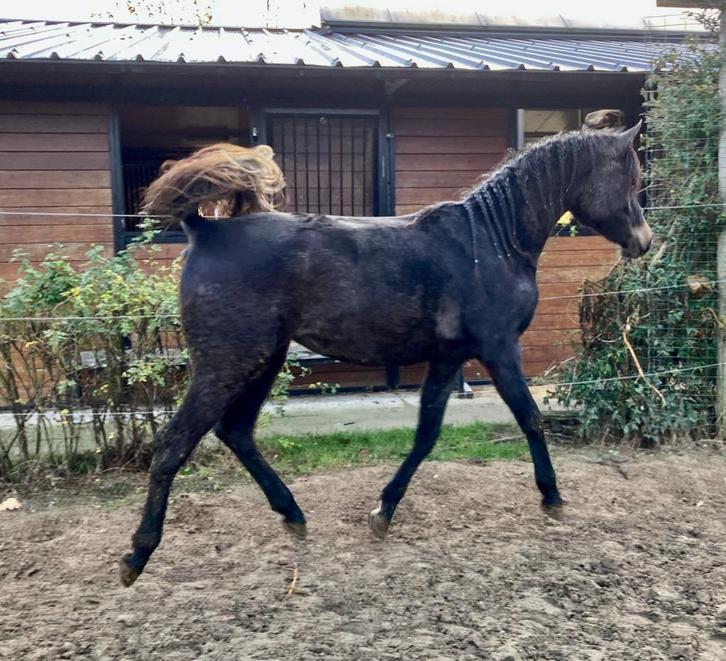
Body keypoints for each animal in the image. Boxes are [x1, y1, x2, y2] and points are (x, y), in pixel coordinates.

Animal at [119, 122, 652, 586]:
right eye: (632, 178)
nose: (644, 242)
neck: (492, 240)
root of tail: (204, 230)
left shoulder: (449, 357)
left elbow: (425, 435)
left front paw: (383, 512)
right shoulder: (499, 349)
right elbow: (530, 418)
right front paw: (552, 496)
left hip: (262, 359)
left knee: (236, 432)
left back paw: (293, 515)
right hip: (225, 364)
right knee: (175, 443)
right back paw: (137, 555)